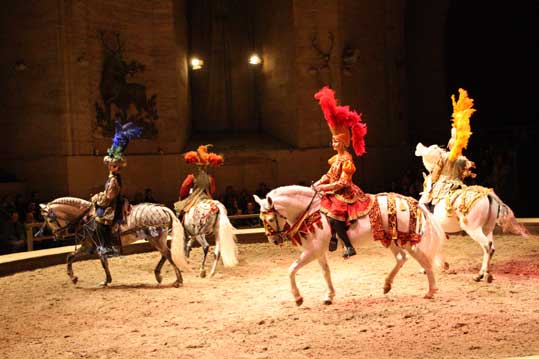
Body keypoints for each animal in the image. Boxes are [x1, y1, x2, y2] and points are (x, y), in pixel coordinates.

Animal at [39, 198, 190, 288]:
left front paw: (103, 280)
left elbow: (100, 263)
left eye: (50, 220)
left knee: (168, 254)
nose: (57, 235)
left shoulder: (94, 246)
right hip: (157, 239)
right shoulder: (92, 246)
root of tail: (163, 209)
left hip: (156, 239)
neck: (86, 218)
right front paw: (75, 278)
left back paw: (178, 280)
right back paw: (159, 275)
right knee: (165, 254)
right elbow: (72, 257)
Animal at [253, 186, 448, 306]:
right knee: (401, 258)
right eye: (262, 219)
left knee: (424, 261)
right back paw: (387, 285)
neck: (309, 212)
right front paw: (329, 296)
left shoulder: (312, 252)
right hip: (391, 239)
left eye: (270, 219)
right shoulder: (319, 252)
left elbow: (291, 270)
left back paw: (430, 291)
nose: (274, 240)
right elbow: (326, 273)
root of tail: (409, 200)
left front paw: (298, 298)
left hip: (406, 240)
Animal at [418, 143, 528, 284]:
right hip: (487, 228)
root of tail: (488, 195)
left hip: (473, 229)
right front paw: (442, 265)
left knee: (486, 246)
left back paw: (481, 275)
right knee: (491, 247)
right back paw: (485, 273)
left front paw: (432, 267)